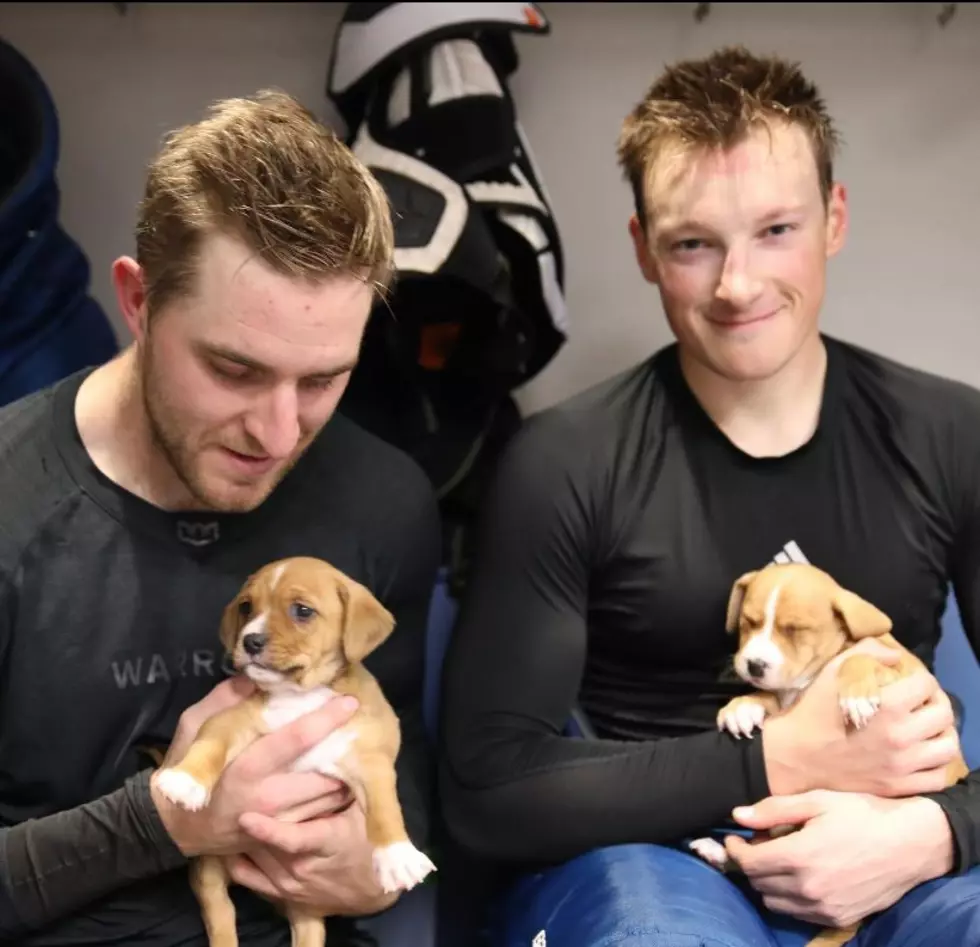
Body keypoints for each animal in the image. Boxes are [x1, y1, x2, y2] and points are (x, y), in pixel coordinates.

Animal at [154, 556, 436, 947]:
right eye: (246, 607)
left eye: (302, 611)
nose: (250, 640)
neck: (299, 696)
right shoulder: (233, 721)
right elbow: (210, 744)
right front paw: (186, 780)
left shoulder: (369, 761)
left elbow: (384, 808)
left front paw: (397, 855)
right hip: (209, 873)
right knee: (222, 917)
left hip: (306, 912)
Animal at [688, 564, 964, 947]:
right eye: (749, 622)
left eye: (795, 629)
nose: (754, 665)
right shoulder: (784, 696)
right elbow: (767, 697)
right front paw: (742, 706)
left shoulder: (901, 676)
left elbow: (860, 658)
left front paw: (856, 695)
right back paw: (716, 851)